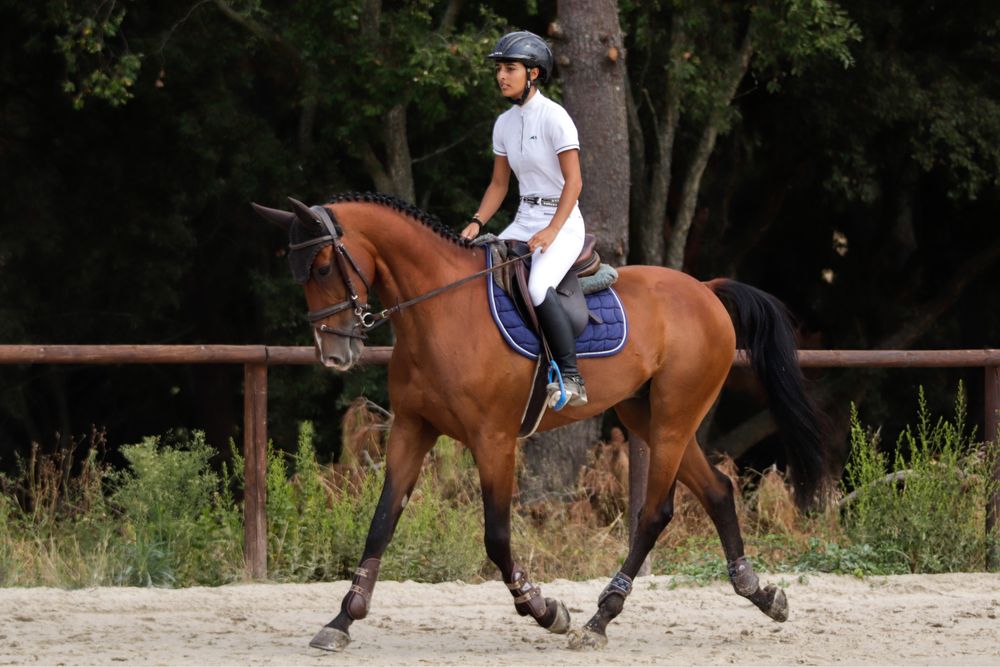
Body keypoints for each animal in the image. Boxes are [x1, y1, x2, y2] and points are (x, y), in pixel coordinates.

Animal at [252, 192, 826, 652]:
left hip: (672, 419)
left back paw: (599, 619)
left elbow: (496, 537)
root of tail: (705, 289)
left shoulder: (494, 441)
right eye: (299, 273)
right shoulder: (413, 430)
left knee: (656, 512)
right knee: (718, 491)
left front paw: (545, 610)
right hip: (650, 417)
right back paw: (761, 594)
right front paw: (341, 620)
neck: (440, 310)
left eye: (322, 268)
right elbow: (382, 522)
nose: (333, 355)